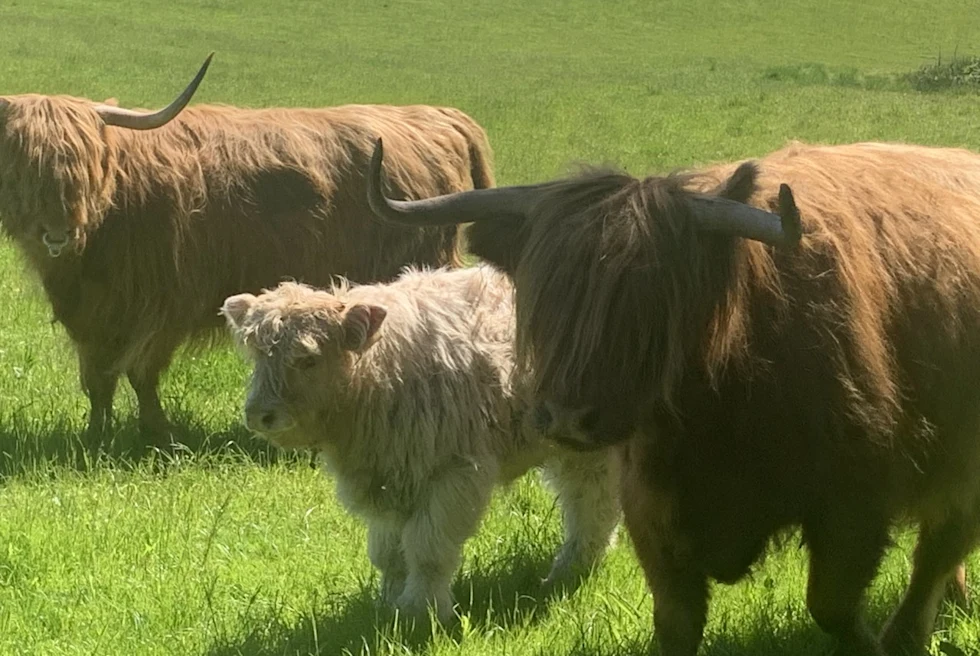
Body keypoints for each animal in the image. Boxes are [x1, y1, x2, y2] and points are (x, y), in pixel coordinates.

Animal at [0, 54, 494, 441]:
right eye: (22, 166)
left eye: (82, 165)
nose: (57, 233)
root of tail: (439, 116)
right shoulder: (93, 315)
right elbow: (98, 379)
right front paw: (97, 433)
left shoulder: (163, 306)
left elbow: (143, 373)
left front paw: (157, 431)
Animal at [220, 265, 621, 623]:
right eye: (256, 354)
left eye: (307, 359)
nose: (258, 414)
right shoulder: (387, 477)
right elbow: (388, 553)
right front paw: (387, 604)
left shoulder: (455, 472)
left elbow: (428, 549)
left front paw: (420, 610)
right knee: (587, 499)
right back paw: (574, 565)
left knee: (595, 500)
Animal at [364, 137, 980, 655]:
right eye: (542, 290)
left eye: (648, 299)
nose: (566, 418)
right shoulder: (652, 507)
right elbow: (677, 621)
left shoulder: (854, 503)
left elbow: (833, 604)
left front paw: (880, 643)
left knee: (936, 550)